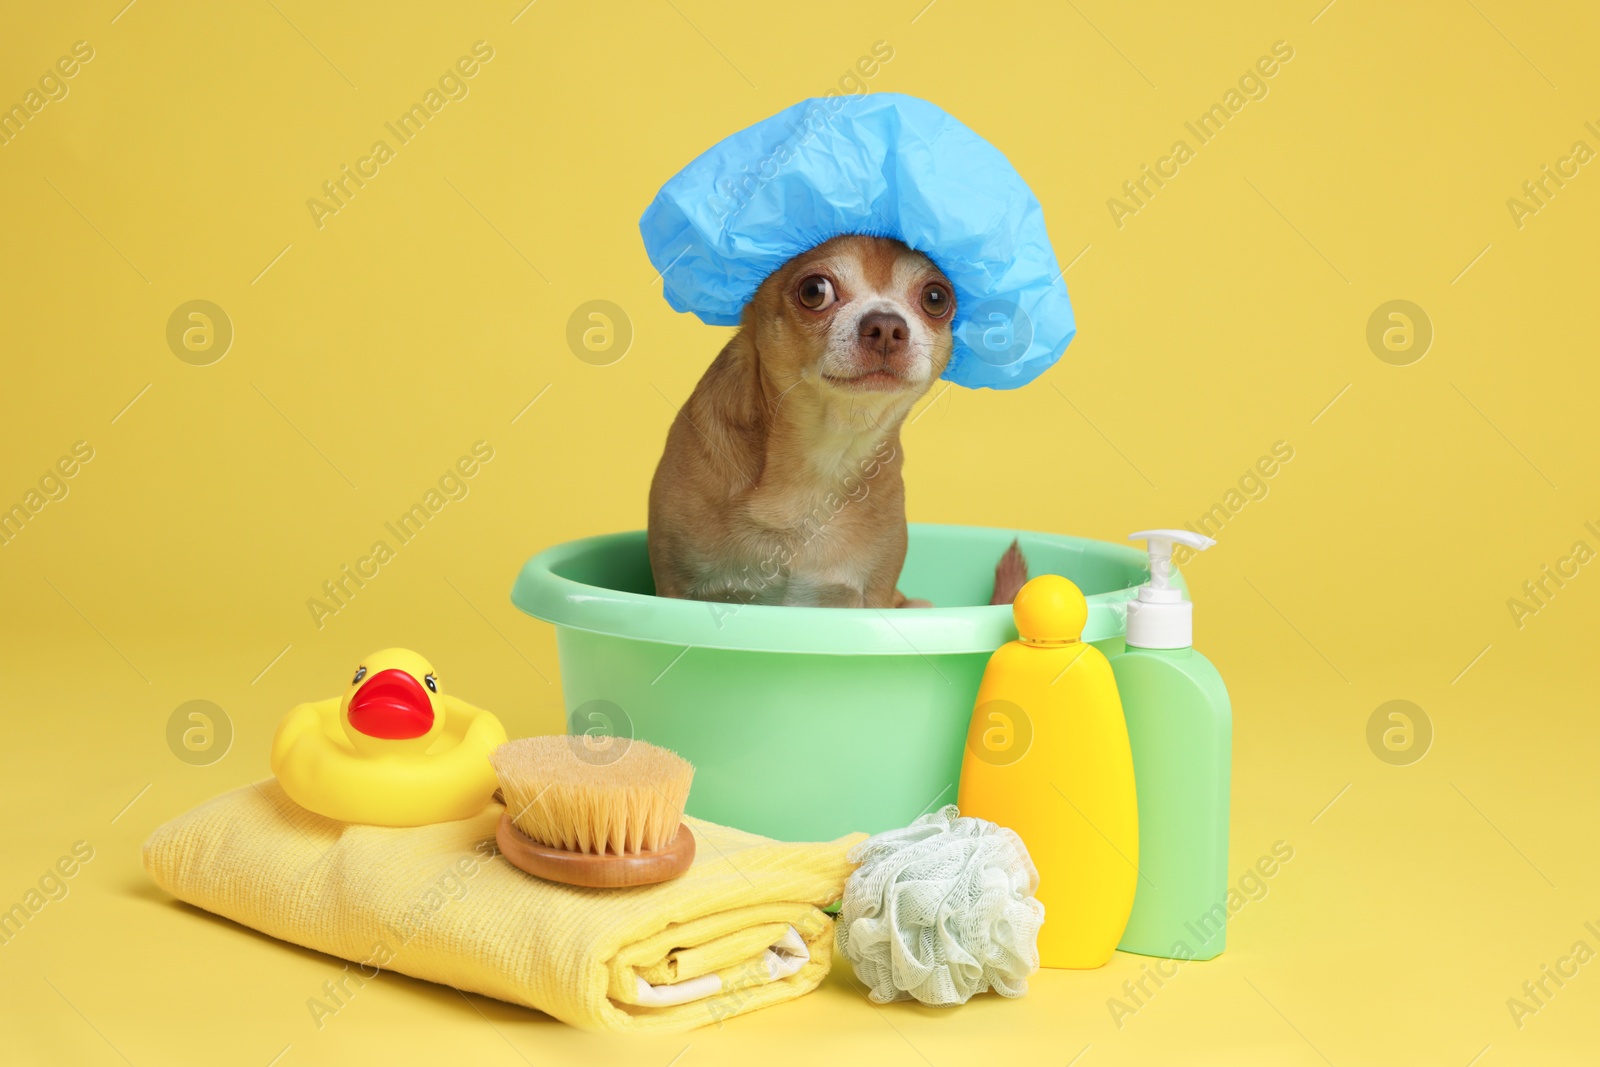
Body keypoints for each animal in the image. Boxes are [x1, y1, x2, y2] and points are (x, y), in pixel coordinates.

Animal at [649, 238, 1024, 614]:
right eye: (814, 291)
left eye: (936, 298)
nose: (886, 325)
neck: (825, 449)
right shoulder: (674, 588)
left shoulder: (874, 598)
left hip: (917, 605)